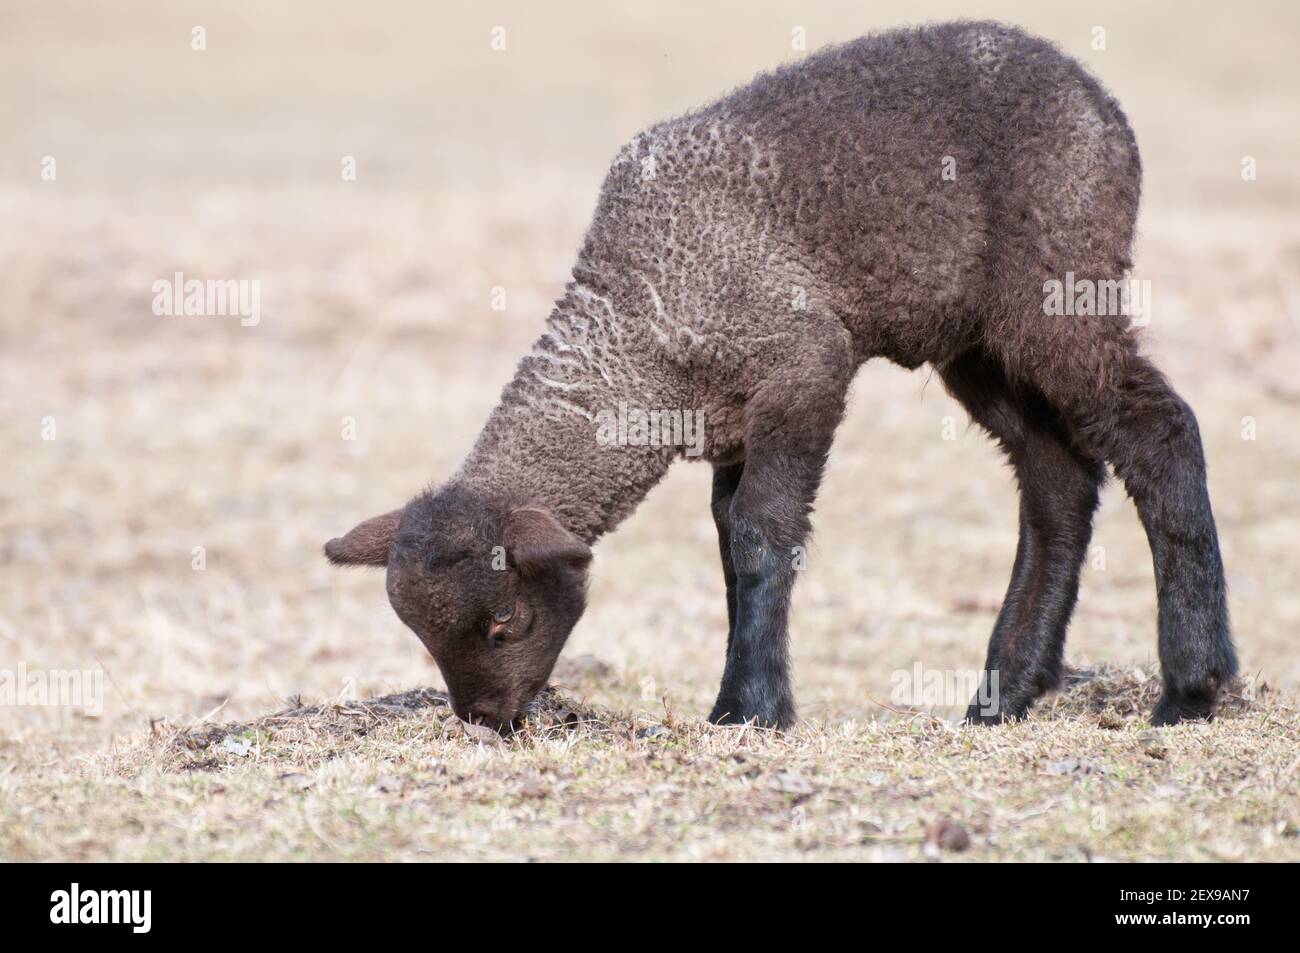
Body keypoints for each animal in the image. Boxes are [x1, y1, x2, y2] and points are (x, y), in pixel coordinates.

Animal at [325, 20, 1237, 728]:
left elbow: (764, 534)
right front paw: (737, 693)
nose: (487, 719)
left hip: (1059, 288)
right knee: (1058, 480)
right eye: (422, 636)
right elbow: (730, 545)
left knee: (1160, 430)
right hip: (978, 341)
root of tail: (1101, 103)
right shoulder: (731, 420)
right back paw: (1005, 691)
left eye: (506, 620)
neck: (636, 322)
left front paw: (754, 708)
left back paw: (1192, 685)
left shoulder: (803, 366)